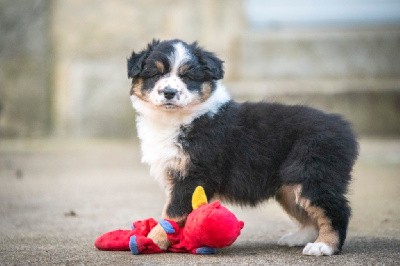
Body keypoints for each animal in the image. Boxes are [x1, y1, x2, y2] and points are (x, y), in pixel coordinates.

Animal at [126, 39, 358, 256]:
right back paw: (298, 238)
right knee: (308, 211)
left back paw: (323, 245)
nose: (169, 92)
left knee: (336, 209)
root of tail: (344, 128)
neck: (176, 119)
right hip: (290, 184)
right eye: (155, 74)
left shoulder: (194, 175)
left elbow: (172, 213)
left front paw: (152, 239)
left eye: (188, 77)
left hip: (312, 172)